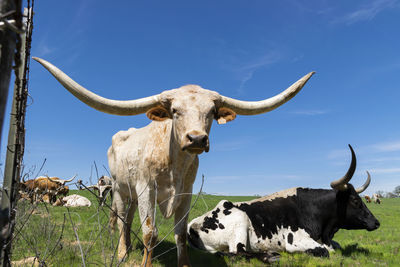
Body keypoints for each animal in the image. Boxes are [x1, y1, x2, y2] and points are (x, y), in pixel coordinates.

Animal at [32, 57, 314, 267]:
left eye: (211, 112)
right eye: (175, 111)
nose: (197, 138)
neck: (174, 163)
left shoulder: (186, 193)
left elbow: (179, 232)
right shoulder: (147, 189)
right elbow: (150, 232)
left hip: (132, 195)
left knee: (129, 219)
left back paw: (129, 247)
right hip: (121, 190)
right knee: (122, 219)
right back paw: (123, 252)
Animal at [188, 146, 382, 262]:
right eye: (355, 201)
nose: (376, 222)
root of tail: (191, 225)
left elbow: (335, 247)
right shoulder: (296, 240)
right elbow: (324, 251)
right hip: (240, 220)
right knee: (237, 252)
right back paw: (270, 256)